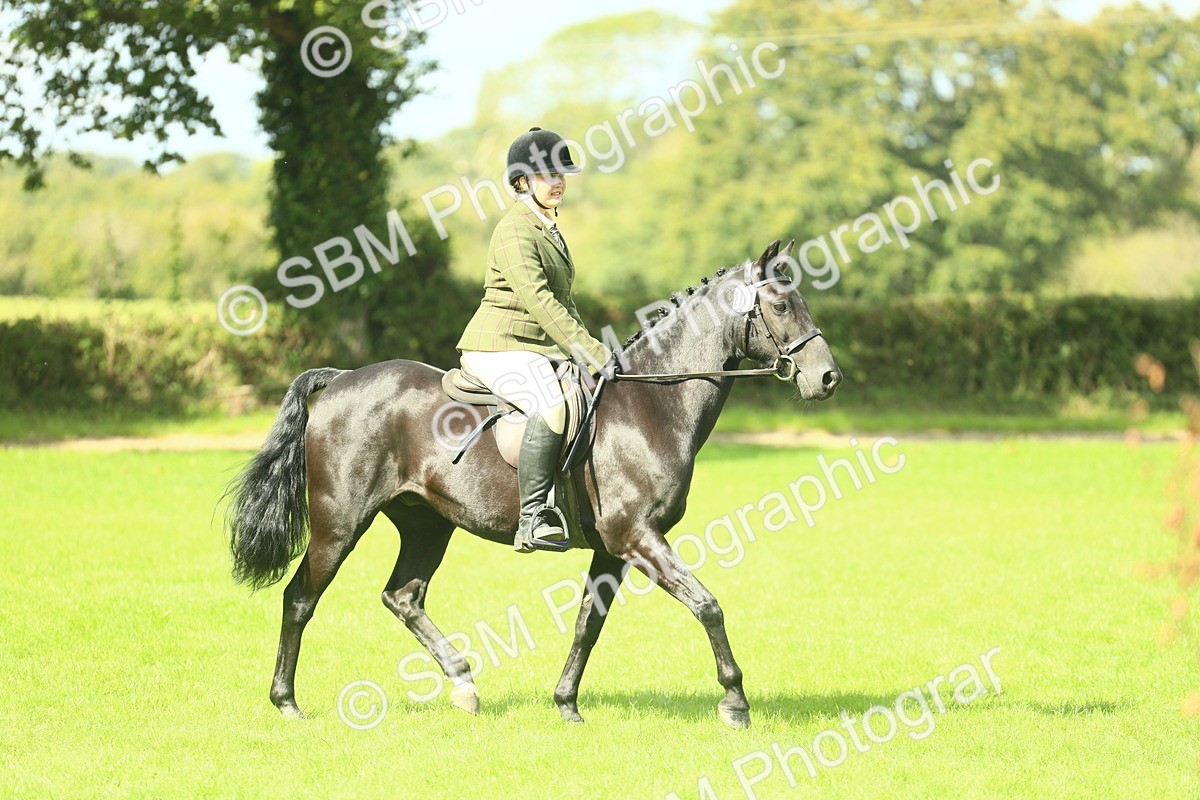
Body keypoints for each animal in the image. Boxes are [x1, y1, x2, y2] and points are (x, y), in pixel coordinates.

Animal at [225, 239, 842, 729]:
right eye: (781, 304)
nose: (828, 378)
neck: (652, 404)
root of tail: (340, 380)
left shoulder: (614, 549)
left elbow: (588, 625)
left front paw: (566, 704)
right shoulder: (638, 538)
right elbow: (707, 605)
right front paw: (735, 703)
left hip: (427, 524)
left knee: (402, 596)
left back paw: (464, 686)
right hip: (339, 523)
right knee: (300, 598)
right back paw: (287, 703)